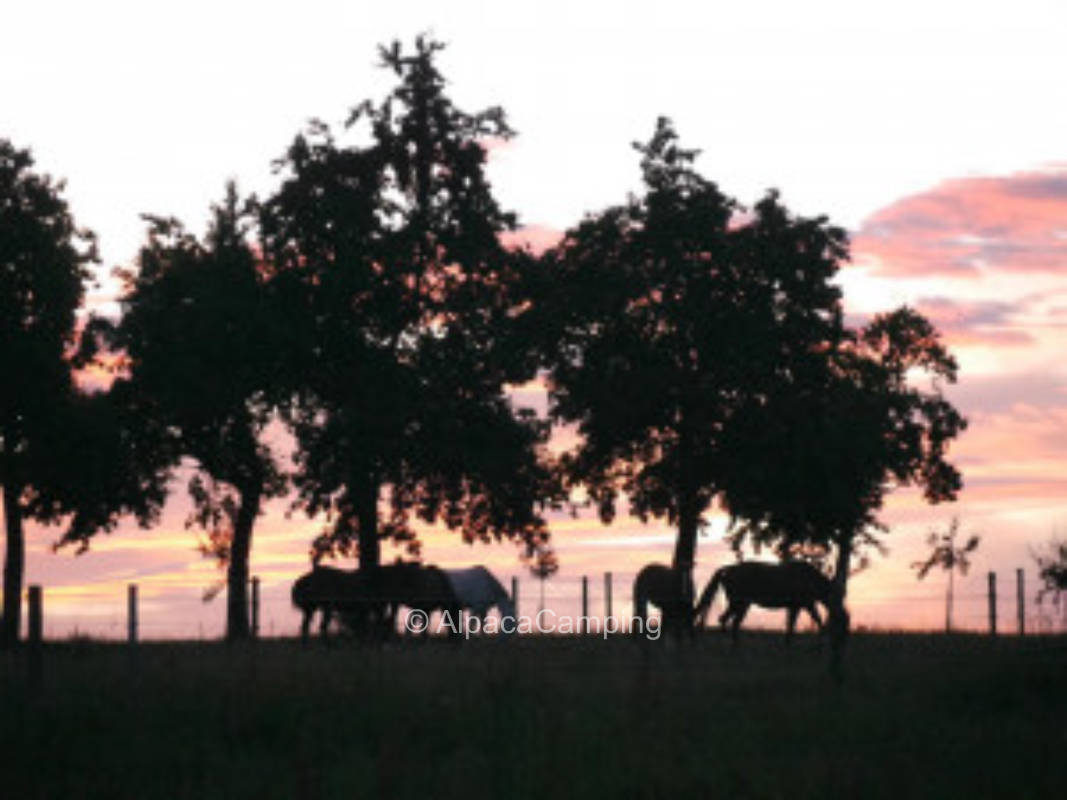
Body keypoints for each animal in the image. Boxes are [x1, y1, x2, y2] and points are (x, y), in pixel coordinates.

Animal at [691, 558, 849, 648]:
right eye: (838, 595)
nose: (844, 614)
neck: (810, 579)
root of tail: (729, 569)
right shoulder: (806, 605)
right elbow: (817, 620)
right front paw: (820, 643)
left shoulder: (797, 606)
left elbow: (791, 625)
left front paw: (788, 644)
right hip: (738, 602)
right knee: (725, 620)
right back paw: (731, 645)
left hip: (742, 604)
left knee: (731, 622)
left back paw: (736, 645)